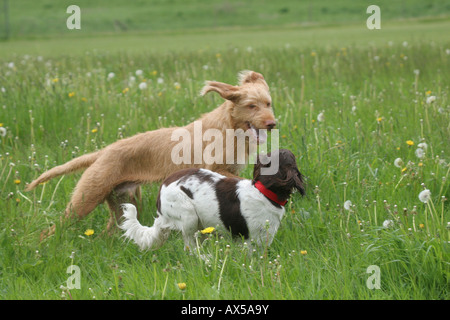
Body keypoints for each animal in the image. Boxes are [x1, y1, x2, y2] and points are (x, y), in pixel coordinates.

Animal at [27, 70, 278, 238]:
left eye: (268, 103)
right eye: (252, 105)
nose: (272, 124)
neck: (229, 127)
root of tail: (102, 152)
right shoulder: (216, 169)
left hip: (123, 201)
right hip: (85, 199)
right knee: (53, 229)